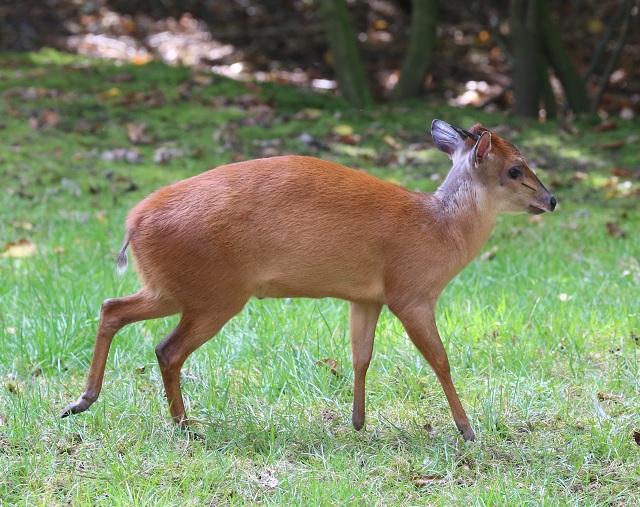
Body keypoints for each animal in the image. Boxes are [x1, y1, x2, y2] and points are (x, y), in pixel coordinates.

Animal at [61, 120, 556, 440]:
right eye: (515, 169)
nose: (551, 200)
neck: (439, 229)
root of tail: (133, 223)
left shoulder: (366, 297)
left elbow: (360, 356)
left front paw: (357, 422)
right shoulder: (411, 293)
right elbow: (441, 360)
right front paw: (467, 429)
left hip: (174, 287)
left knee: (112, 308)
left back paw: (81, 401)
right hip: (215, 295)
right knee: (166, 348)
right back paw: (185, 426)